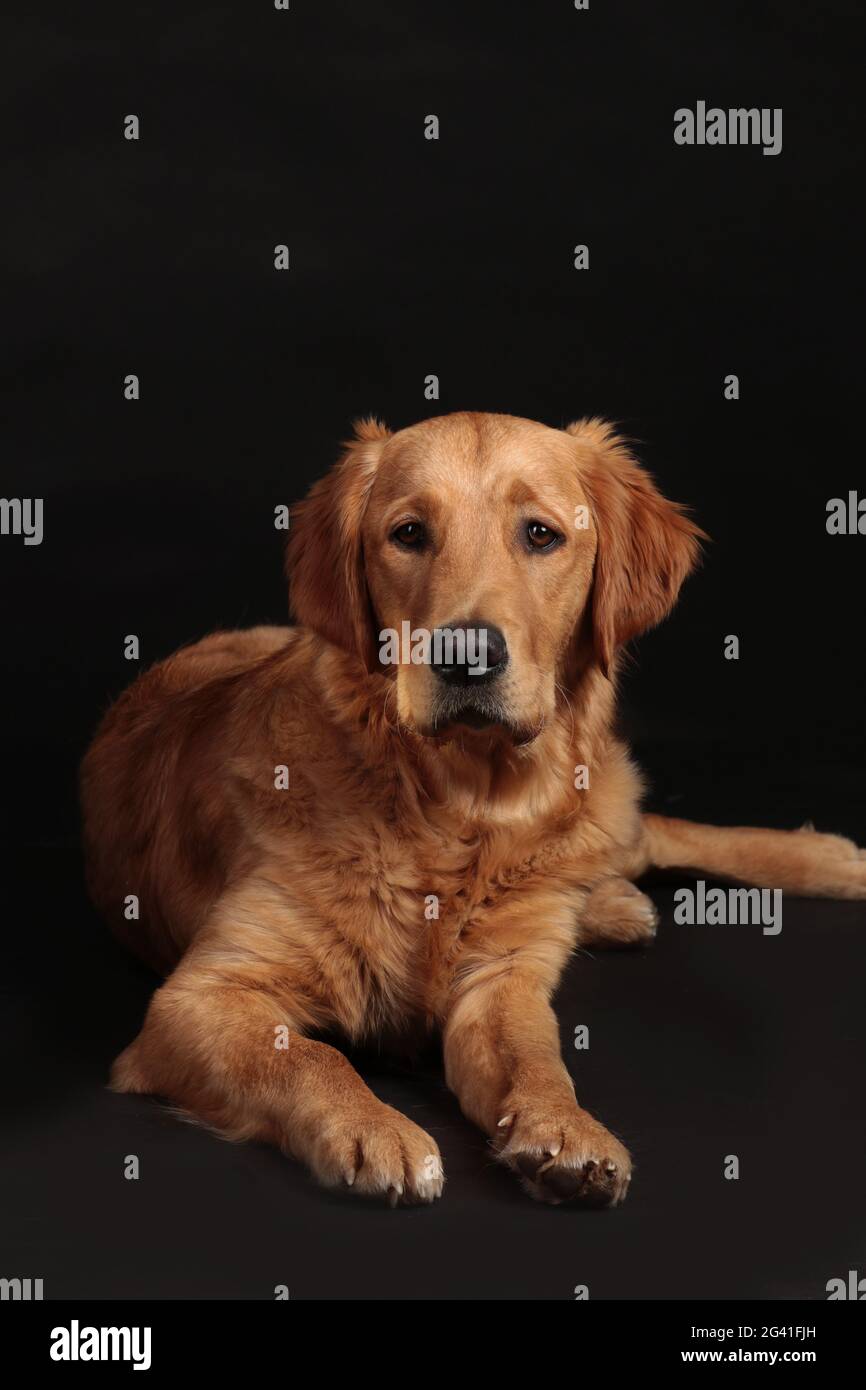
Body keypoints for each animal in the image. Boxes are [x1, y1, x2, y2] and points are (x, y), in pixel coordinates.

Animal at [81, 408, 866, 1206]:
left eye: (541, 534)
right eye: (408, 534)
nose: (465, 652)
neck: (459, 812)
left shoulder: (502, 983)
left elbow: (536, 1057)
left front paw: (567, 1129)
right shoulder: (198, 998)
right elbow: (308, 1058)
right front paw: (372, 1127)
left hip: (603, 805)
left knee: (653, 834)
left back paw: (829, 860)